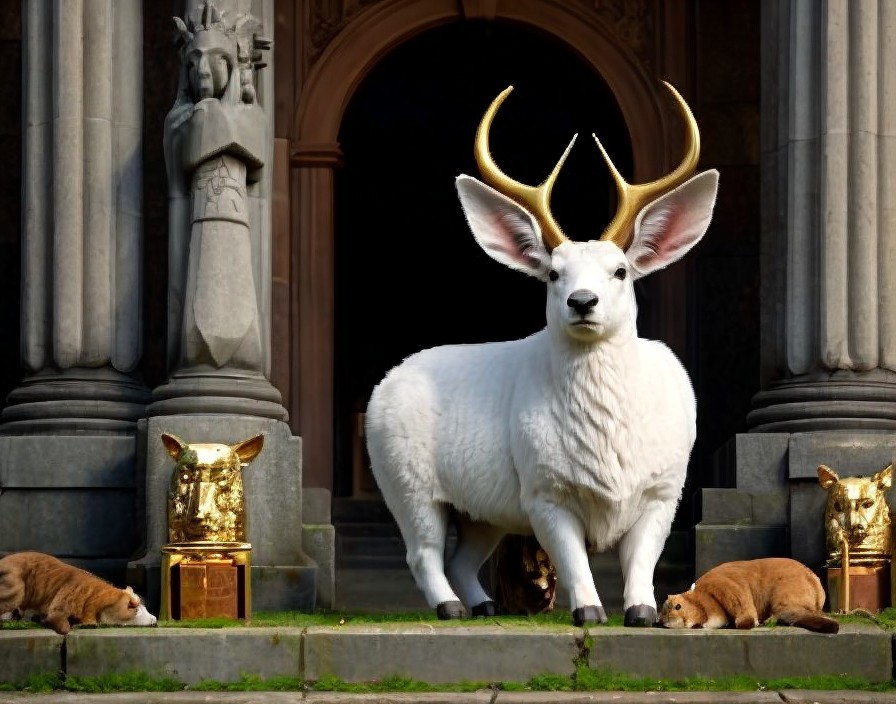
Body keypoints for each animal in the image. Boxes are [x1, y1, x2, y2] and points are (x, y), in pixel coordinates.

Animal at [364, 82, 719, 627]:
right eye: (553, 273)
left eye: (620, 271)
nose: (582, 300)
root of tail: (387, 382)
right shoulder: (544, 490)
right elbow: (573, 560)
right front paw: (589, 611)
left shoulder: (664, 489)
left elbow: (643, 559)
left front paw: (642, 612)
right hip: (404, 479)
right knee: (423, 551)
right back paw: (450, 607)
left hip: (482, 510)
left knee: (463, 556)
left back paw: (485, 604)